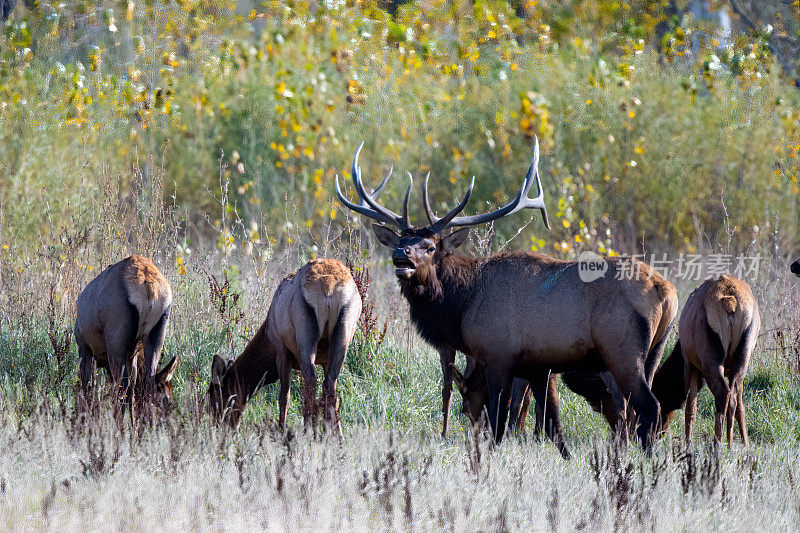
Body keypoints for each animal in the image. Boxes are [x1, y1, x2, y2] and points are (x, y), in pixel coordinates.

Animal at [75, 256, 177, 414]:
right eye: (168, 399)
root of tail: (150, 287)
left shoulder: (85, 348)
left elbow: (88, 389)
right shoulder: (132, 355)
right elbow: (133, 388)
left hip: (116, 344)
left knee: (121, 387)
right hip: (155, 335)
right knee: (146, 381)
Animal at [208, 258, 360, 432]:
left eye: (214, 396)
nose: (217, 426)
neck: (267, 332)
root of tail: (329, 287)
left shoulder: (281, 351)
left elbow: (284, 397)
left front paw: (281, 429)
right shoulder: (325, 360)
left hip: (305, 337)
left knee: (311, 383)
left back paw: (308, 432)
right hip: (342, 337)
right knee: (329, 386)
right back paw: (335, 435)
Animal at [334, 139, 680, 446]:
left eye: (430, 246)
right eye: (399, 241)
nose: (400, 256)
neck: (463, 303)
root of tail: (667, 291)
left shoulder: (498, 353)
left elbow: (500, 417)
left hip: (621, 347)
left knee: (646, 406)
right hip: (654, 350)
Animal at [652, 274, 760, 444]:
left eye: (658, 395)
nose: (657, 433)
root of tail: (731, 303)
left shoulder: (689, 364)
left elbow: (690, 407)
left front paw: (687, 443)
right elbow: (741, 407)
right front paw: (746, 443)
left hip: (710, 359)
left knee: (722, 393)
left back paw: (717, 444)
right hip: (743, 356)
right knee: (733, 398)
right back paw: (730, 443)